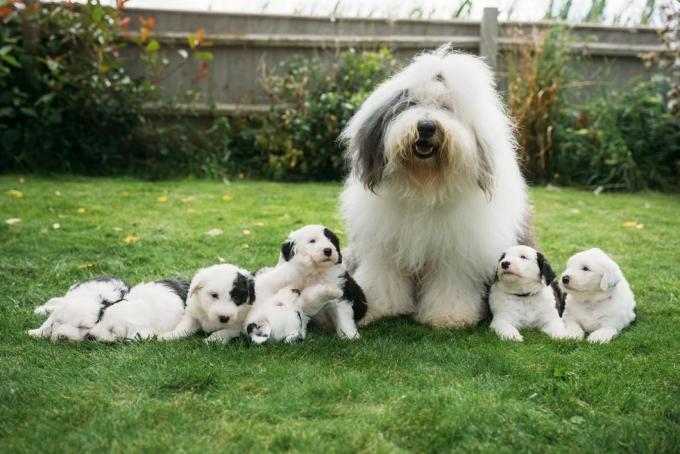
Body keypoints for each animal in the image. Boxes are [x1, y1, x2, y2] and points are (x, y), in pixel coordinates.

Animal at [340, 45, 532, 326]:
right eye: (410, 104)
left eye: (447, 107)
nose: (426, 126)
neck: (426, 184)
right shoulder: (384, 245)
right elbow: (383, 276)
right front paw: (380, 308)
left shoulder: (457, 251)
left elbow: (450, 282)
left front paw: (449, 316)